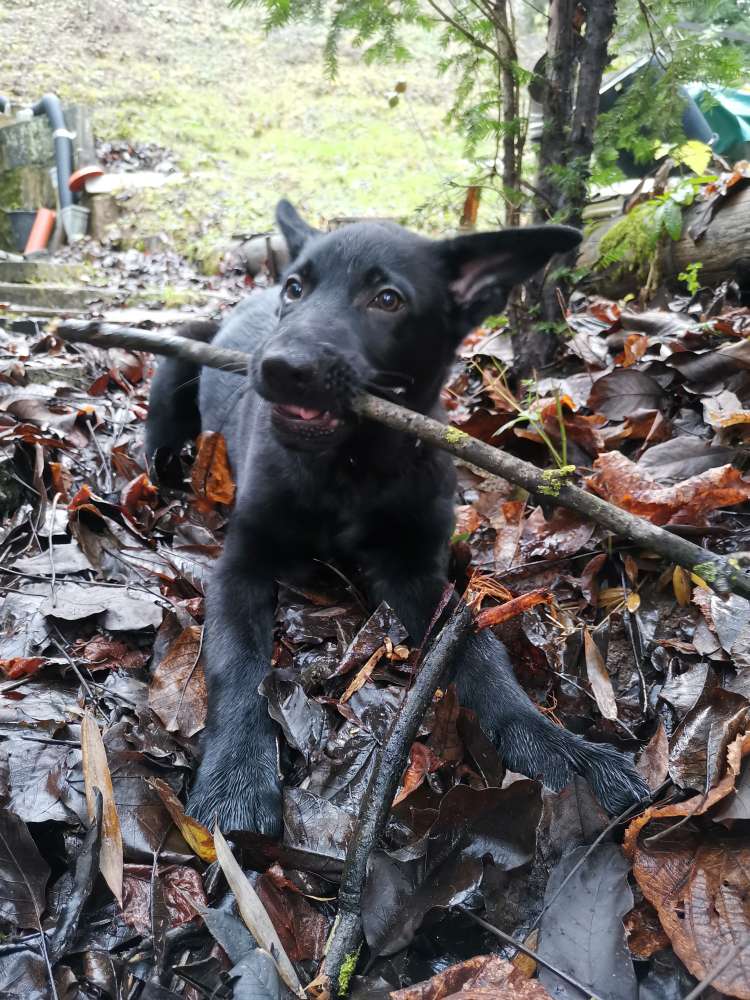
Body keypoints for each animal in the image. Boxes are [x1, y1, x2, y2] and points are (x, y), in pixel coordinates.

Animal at [147, 203, 652, 836]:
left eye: (387, 299)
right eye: (296, 288)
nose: (279, 366)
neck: (349, 467)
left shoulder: (414, 574)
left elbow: (479, 654)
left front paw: (556, 745)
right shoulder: (241, 567)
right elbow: (237, 664)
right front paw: (236, 775)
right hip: (181, 353)